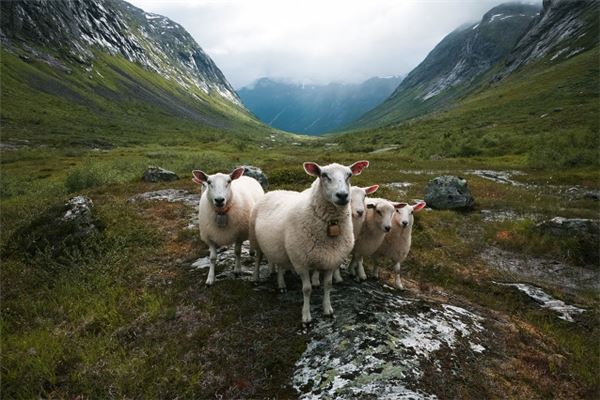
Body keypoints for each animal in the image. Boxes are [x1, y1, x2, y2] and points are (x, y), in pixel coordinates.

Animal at [247, 161, 368, 324]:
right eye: (324, 175)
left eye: (349, 175)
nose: (342, 195)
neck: (331, 223)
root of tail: (274, 191)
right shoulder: (301, 262)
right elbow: (307, 289)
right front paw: (306, 316)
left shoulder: (331, 259)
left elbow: (328, 285)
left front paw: (327, 309)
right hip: (256, 239)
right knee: (258, 259)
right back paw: (255, 278)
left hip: (282, 247)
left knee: (280, 264)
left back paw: (281, 284)